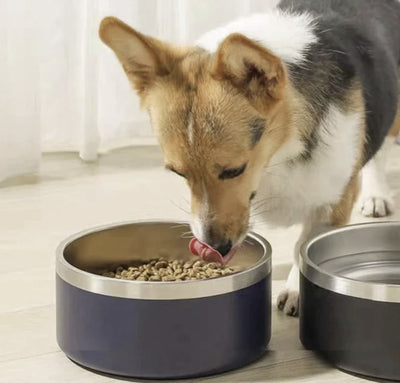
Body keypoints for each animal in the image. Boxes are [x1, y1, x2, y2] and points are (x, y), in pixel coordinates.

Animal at [99, 0, 400, 318]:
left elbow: (303, 247)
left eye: (234, 170)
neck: (279, 153)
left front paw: (296, 289)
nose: (216, 247)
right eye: (179, 173)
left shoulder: (333, 202)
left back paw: (377, 195)